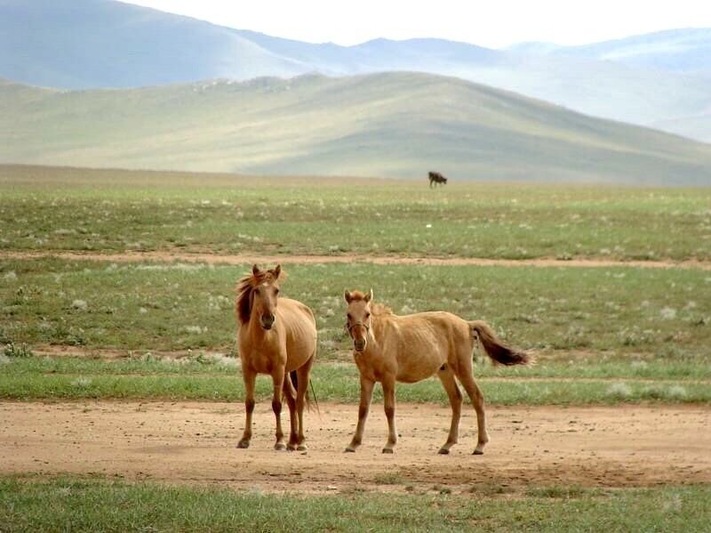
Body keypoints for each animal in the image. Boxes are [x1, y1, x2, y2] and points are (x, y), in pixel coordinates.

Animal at [235, 264, 317, 451]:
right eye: (257, 290)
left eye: (276, 290)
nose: (267, 319)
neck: (261, 338)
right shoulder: (248, 370)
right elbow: (249, 403)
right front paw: (245, 439)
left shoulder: (277, 371)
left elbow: (277, 405)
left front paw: (279, 440)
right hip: (286, 373)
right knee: (293, 401)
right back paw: (292, 441)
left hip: (302, 369)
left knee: (299, 402)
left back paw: (301, 441)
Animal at [343, 289, 531, 455]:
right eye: (348, 314)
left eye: (367, 314)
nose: (359, 343)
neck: (377, 341)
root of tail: (467, 324)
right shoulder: (366, 378)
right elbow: (363, 409)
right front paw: (353, 444)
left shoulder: (388, 378)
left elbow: (389, 408)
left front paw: (390, 444)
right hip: (445, 371)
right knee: (456, 399)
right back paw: (447, 445)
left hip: (463, 369)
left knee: (477, 398)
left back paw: (479, 445)